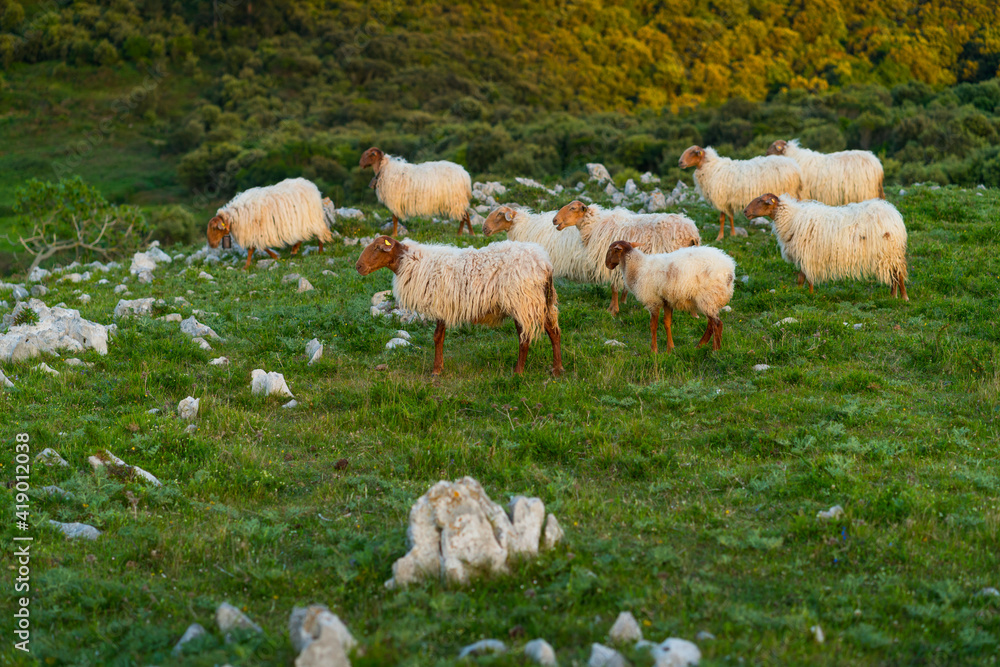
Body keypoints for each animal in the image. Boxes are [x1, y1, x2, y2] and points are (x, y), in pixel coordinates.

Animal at [355, 236, 563, 376]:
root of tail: (544, 262)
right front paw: (439, 367)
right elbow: (440, 337)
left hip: (523, 301)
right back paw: (557, 369)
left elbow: (437, 337)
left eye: (377, 248)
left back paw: (519, 372)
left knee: (524, 338)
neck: (411, 261)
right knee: (554, 332)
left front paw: (436, 370)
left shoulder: (440, 304)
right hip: (541, 302)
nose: (358, 266)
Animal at [552, 201, 701, 315]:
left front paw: (612, 309)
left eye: (572, 208)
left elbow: (613, 287)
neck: (594, 226)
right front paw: (622, 302)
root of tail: (692, 232)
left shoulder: (611, 260)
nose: (554, 220)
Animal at [605, 241, 736, 352]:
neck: (637, 267)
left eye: (611, 250)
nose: (607, 265)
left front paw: (654, 350)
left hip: (709, 297)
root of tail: (729, 272)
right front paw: (670, 349)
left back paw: (715, 350)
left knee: (717, 324)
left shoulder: (653, 300)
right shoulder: (667, 301)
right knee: (711, 325)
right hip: (711, 300)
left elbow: (653, 326)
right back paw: (700, 346)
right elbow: (667, 323)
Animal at [744, 193, 909, 300]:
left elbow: (806, 278)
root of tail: (894, 214)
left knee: (898, 273)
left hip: (889, 251)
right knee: (894, 274)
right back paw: (892, 296)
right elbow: (801, 278)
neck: (791, 218)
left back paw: (903, 297)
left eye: (761, 201)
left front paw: (807, 295)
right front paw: (800, 294)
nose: (745, 211)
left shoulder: (808, 254)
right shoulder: (806, 255)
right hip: (889, 253)